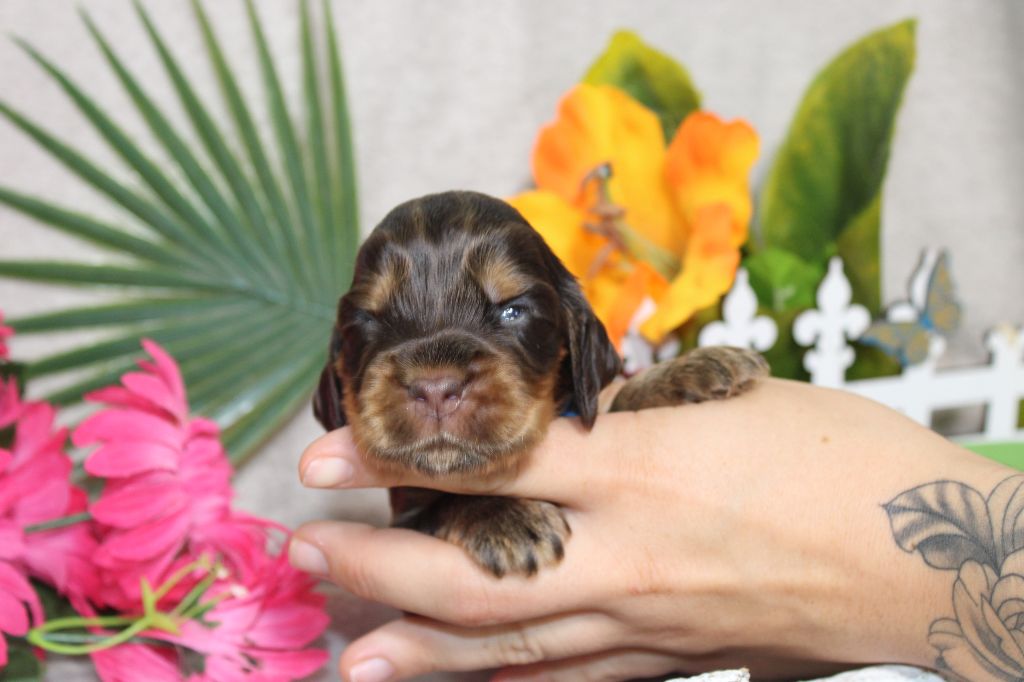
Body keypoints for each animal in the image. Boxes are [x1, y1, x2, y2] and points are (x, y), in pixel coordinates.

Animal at [313, 189, 770, 573]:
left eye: (512, 310)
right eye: (367, 320)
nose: (436, 389)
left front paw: (695, 367)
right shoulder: (408, 514)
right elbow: (447, 501)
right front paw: (506, 517)